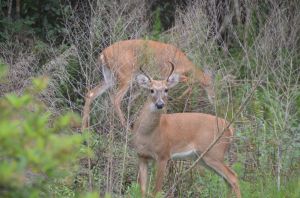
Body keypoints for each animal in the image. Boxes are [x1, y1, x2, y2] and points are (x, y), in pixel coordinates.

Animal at [81, 39, 214, 129]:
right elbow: (191, 82)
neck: (181, 61)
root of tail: (103, 54)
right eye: (211, 84)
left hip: (109, 78)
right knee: (115, 99)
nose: (214, 99)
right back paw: (126, 128)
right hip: (125, 78)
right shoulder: (167, 74)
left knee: (91, 94)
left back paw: (84, 129)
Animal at [134, 62, 241, 198]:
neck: (146, 135)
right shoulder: (141, 156)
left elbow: (156, 191)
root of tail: (229, 126)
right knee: (227, 181)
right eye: (151, 90)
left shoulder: (163, 155)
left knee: (233, 177)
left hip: (214, 153)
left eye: (166, 89)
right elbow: (142, 190)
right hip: (202, 158)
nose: (160, 104)